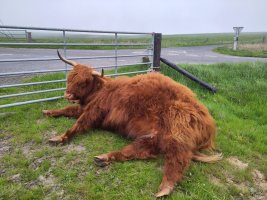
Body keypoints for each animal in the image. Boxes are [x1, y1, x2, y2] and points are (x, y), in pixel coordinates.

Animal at [44, 50, 223, 198]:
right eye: (70, 77)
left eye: (83, 82)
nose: (67, 94)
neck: (99, 90)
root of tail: (208, 122)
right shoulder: (84, 108)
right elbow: (68, 109)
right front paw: (48, 112)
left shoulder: (94, 111)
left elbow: (79, 124)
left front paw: (60, 137)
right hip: (154, 137)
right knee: (137, 151)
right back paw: (104, 157)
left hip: (177, 134)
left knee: (178, 159)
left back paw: (165, 188)